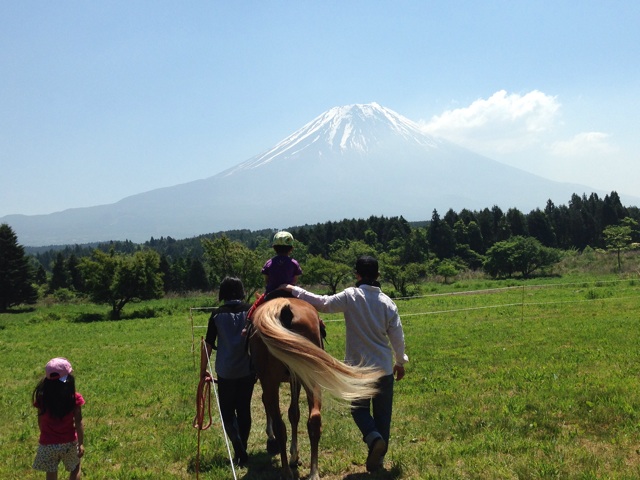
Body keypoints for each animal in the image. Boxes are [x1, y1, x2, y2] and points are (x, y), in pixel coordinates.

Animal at [249, 296, 380, 480]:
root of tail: (284, 310)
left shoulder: (275, 382)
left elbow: (284, 412)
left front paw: (284, 449)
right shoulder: (294, 379)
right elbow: (294, 413)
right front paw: (294, 455)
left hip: (273, 382)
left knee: (280, 425)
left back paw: (286, 471)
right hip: (311, 378)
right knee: (314, 419)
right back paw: (313, 471)